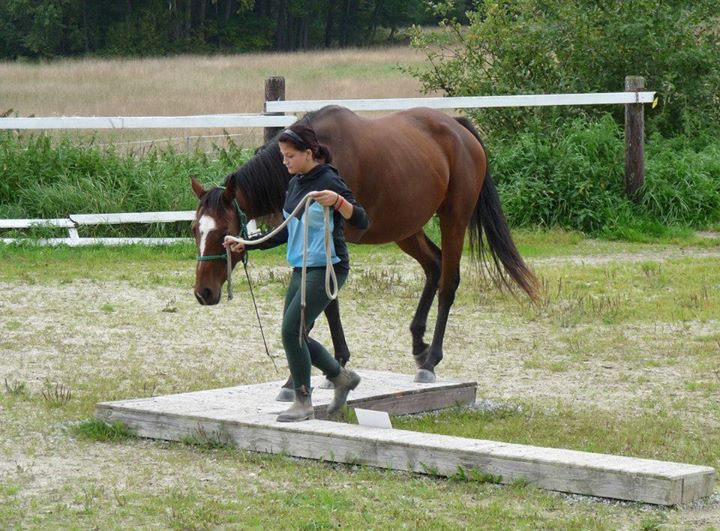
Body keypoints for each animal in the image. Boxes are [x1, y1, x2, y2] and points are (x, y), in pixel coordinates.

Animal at [190, 106, 536, 388]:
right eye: (195, 229)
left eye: (224, 233)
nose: (203, 292)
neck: (319, 159)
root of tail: (458, 128)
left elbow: (325, 302)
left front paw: (328, 365)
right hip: (405, 227)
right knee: (434, 266)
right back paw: (418, 344)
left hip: (454, 218)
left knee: (448, 282)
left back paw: (431, 361)